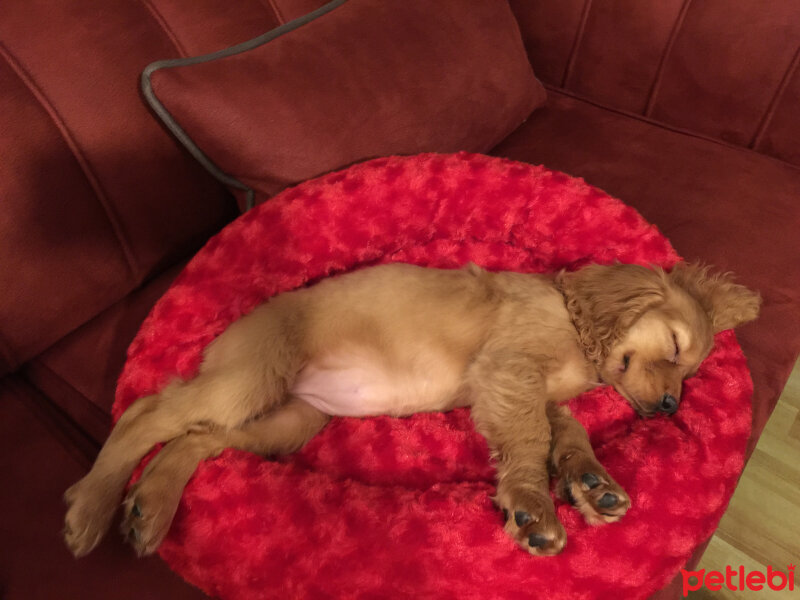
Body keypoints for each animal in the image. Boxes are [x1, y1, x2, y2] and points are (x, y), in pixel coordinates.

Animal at [61, 262, 756, 556]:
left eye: (690, 371)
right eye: (676, 347)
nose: (669, 406)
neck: (576, 336)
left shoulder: (525, 389)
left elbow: (568, 430)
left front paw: (591, 482)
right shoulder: (509, 371)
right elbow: (532, 439)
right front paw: (534, 506)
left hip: (287, 421)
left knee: (193, 439)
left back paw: (150, 509)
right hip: (248, 380)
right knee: (146, 415)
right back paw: (92, 508)